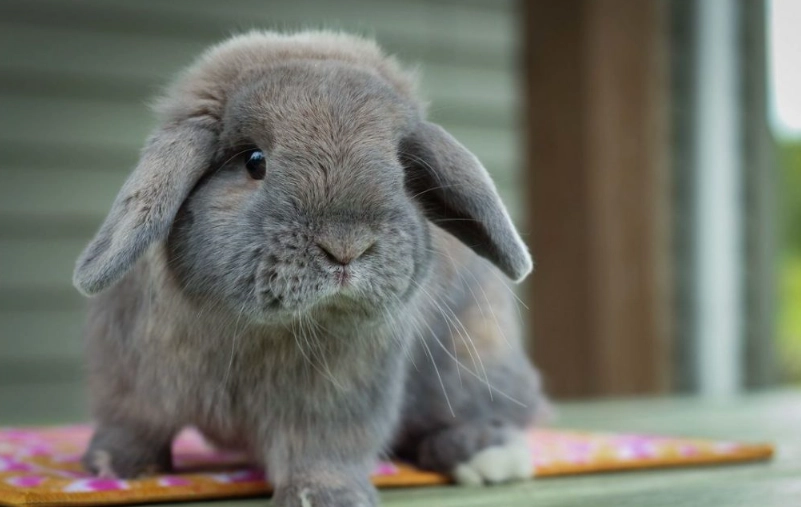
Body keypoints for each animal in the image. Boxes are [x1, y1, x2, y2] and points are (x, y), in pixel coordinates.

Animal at [72, 30, 547, 507]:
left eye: (402, 171)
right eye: (254, 160)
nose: (346, 246)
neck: (252, 328)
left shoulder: (338, 400)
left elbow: (322, 449)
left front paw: (326, 496)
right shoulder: (130, 383)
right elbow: (134, 425)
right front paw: (112, 465)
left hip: (474, 364)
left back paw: (489, 454)